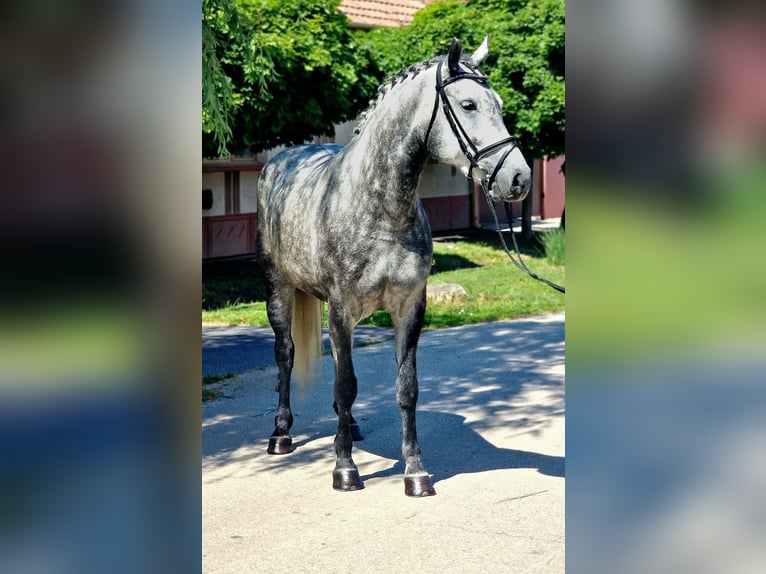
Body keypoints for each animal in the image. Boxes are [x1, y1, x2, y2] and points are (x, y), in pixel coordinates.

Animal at [256, 38, 531, 497]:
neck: (380, 207)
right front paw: (345, 469)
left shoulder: (409, 309)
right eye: (469, 104)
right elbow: (346, 383)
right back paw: (281, 434)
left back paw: (348, 427)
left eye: (500, 104)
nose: (519, 178)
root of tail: (282, 160)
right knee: (286, 354)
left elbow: (406, 389)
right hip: (278, 289)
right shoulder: (342, 309)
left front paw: (415, 473)